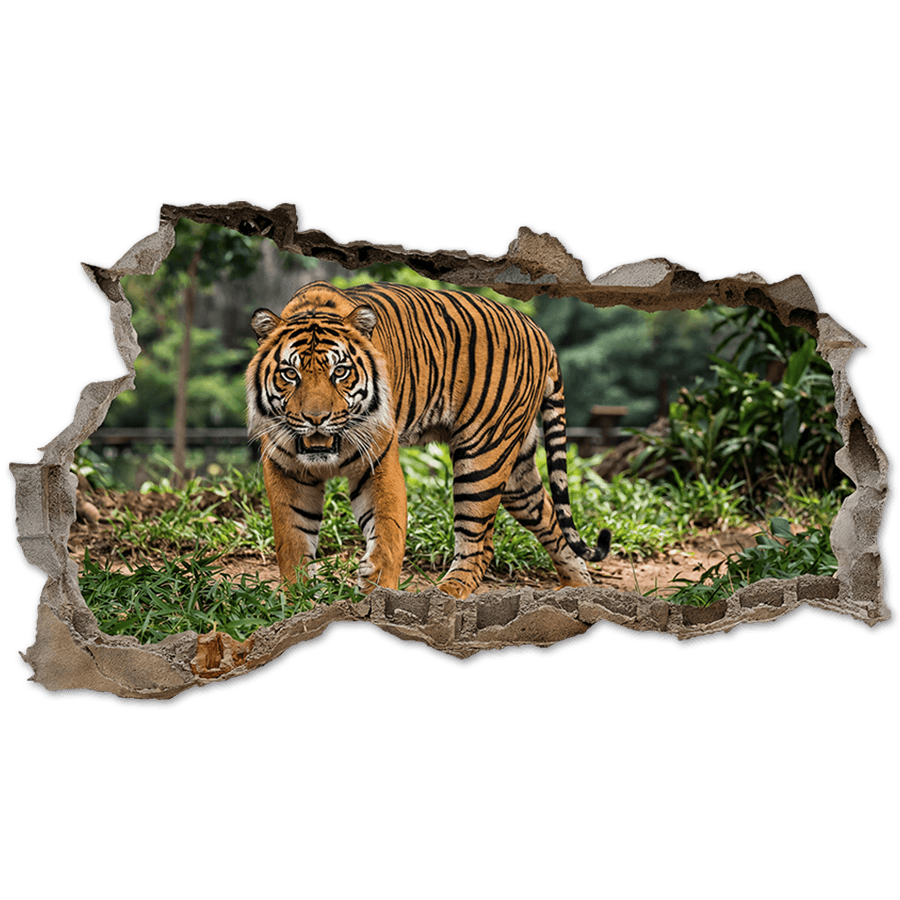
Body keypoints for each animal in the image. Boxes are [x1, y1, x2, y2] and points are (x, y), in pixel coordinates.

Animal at [246, 280, 611, 600]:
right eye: (290, 374)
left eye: (340, 372)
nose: (316, 419)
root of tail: (540, 333)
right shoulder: (286, 469)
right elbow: (293, 538)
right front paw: (299, 598)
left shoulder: (378, 461)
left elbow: (387, 532)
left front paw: (375, 590)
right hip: (516, 469)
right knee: (550, 518)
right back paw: (579, 589)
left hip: (483, 457)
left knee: (481, 545)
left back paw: (445, 593)